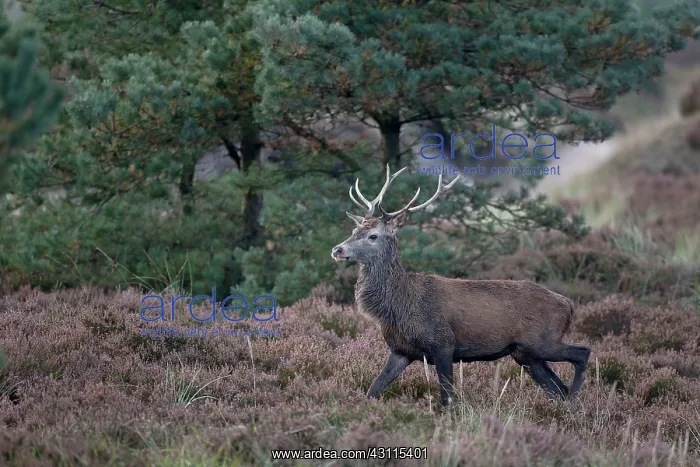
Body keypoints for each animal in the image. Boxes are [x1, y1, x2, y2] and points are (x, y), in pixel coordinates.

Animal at [331, 165, 591, 410]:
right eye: (354, 231)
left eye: (373, 235)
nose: (337, 249)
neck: (399, 305)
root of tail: (568, 305)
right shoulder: (401, 351)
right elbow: (374, 388)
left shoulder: (443, 344)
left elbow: (448, 397)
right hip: (526, 353)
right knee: (557, 387)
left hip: (543, 341)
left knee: (582, 353)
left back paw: (576, 401)